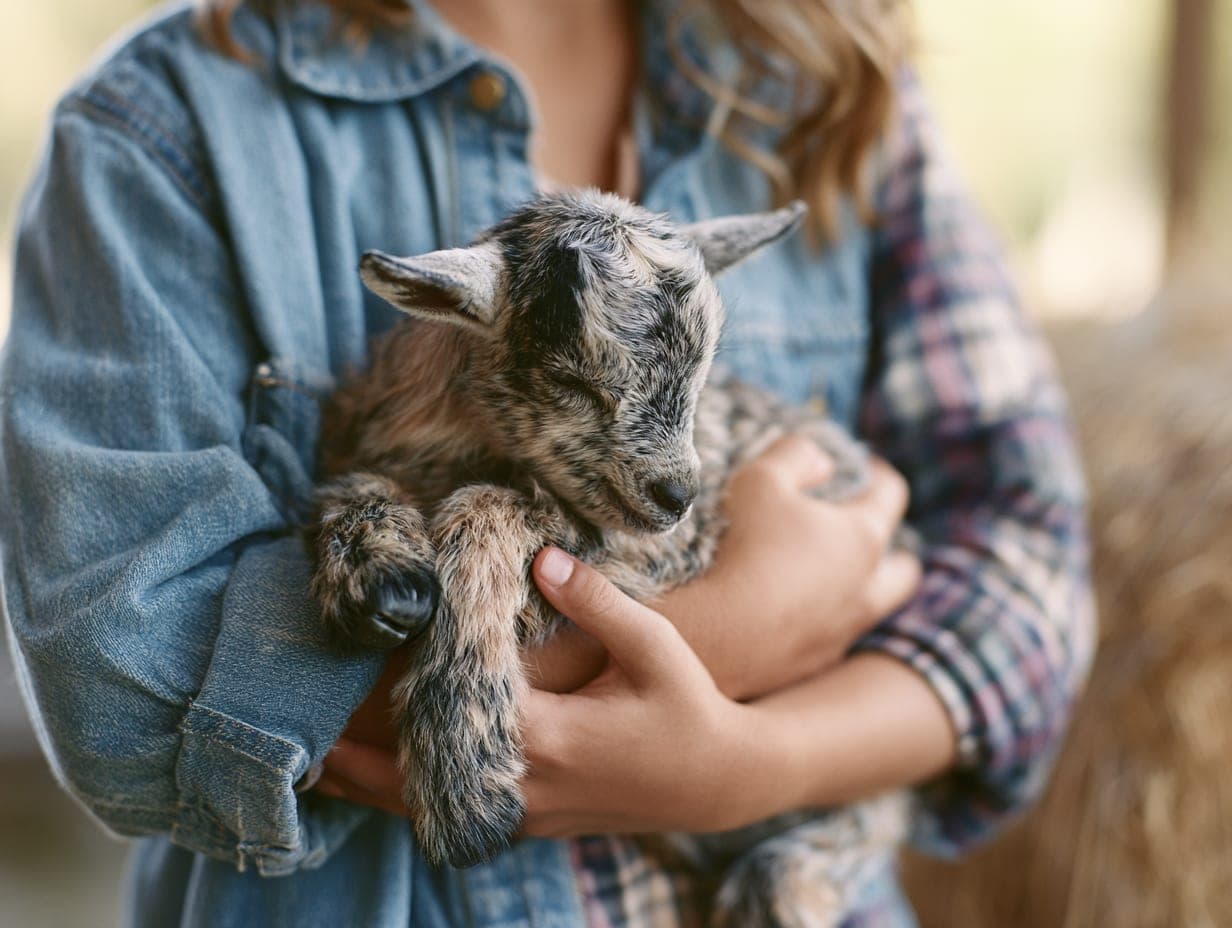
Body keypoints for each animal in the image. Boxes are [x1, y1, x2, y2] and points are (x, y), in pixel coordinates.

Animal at [310, 190, 908, 927]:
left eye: (703, 376)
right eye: (571, 380)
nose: (677, 492)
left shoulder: (665, 545)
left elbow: (488, 510)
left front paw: (466, 792)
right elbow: (353, 488)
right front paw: (380, 579)